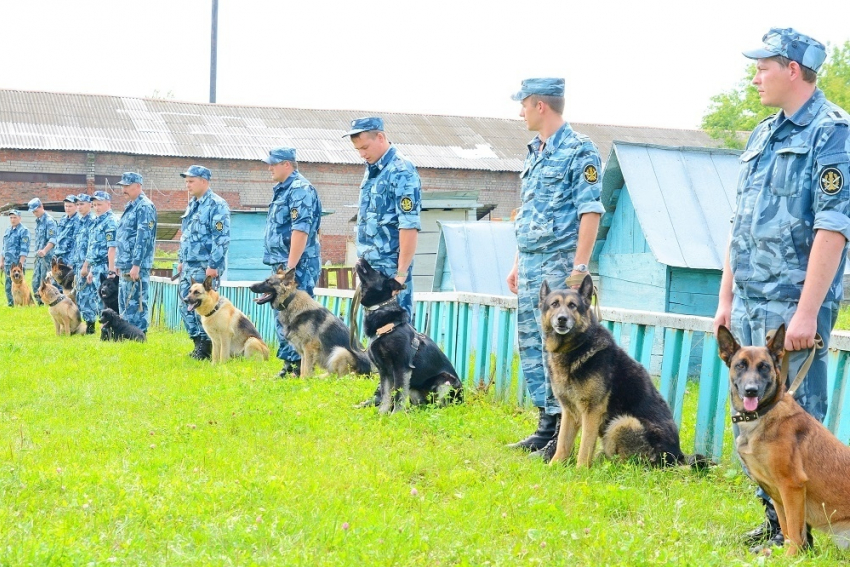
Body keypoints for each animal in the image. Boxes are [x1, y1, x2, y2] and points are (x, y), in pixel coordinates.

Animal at [352, 260, 464, 414]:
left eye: (378, 271)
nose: (362, 259)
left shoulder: (401, 367)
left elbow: (398, 394)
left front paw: (394, 414)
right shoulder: (384, 371)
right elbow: (386, 393)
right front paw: (382, 413)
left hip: (445, 380)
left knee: (440, 405)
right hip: (415, 390)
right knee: (421, 405)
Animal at [536, 278, 696, 468]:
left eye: (572, 305)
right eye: (554, 304)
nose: (562, 319)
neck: (577, 346)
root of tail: (677, 457)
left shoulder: (592, 411)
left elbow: (585, 446)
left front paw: (580, 469)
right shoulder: (569, 412)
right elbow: (562, 443)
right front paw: (554, 466)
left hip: (622, 422)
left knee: (628, 465)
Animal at [720, 324, 848, 556]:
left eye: (764, 367)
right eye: (740, 365)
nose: (751, 390)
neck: (761, 415)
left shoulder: (792, 486)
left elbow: (796, 533)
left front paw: (791, 557)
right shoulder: (776, 491)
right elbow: (787, 528)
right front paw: (780, 554)